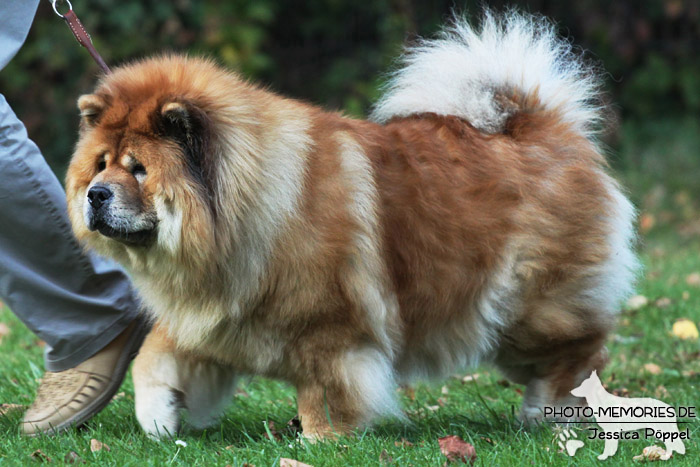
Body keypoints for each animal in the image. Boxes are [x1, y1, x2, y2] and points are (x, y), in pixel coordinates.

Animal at [67, 12, 640, 440]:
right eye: (101, 165)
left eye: (138, 170)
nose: (96, 195)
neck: (239, 215)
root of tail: (540, 126)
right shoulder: (209, 313)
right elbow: (154, 359)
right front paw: (158, 419)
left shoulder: (329, 331)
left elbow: (324, 389)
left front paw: (321, 439)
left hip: (523, 312)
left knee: (581, 350)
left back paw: (550, 413)